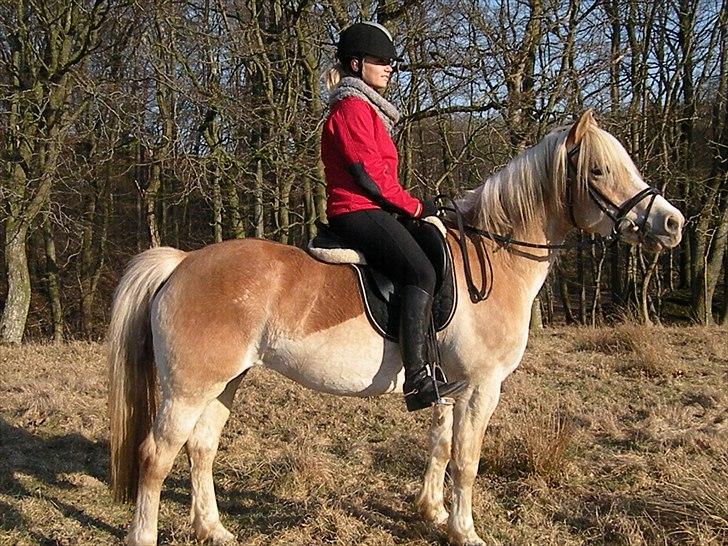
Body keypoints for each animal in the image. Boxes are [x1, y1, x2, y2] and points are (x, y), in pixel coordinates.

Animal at [106, 108, 684, 540]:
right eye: (599, 171)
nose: (672, 223)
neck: (494, 258)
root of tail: (182, 263)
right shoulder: (483, 386)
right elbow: (466, 460)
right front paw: (464, 531)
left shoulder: (452, 386)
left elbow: (442, 446)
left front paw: (432, 512)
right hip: (189, 388)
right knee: (155, 457)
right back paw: (146, 534)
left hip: (225, 382)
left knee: (201, 449)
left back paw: (213, 530)